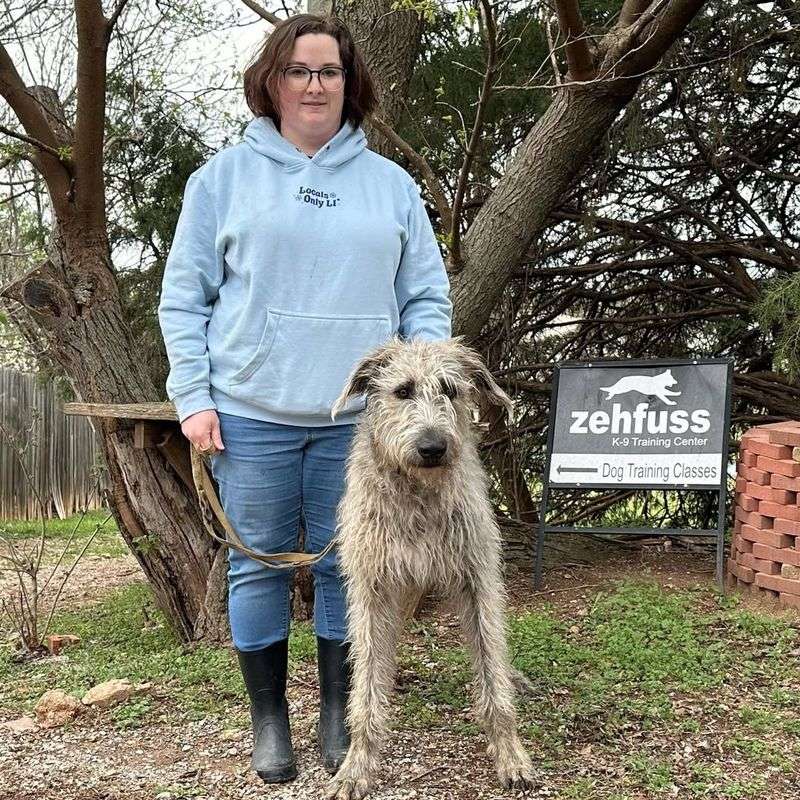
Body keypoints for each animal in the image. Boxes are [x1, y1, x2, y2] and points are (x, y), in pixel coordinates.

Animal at [322, 334, 536, 796]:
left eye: (450, 391)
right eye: (403, 391)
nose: (433, 447)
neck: (418, 494)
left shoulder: (478, 580)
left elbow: (492, 669)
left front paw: (511, 754)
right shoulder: (372, 589)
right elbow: (366, 683)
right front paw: (356, 766)